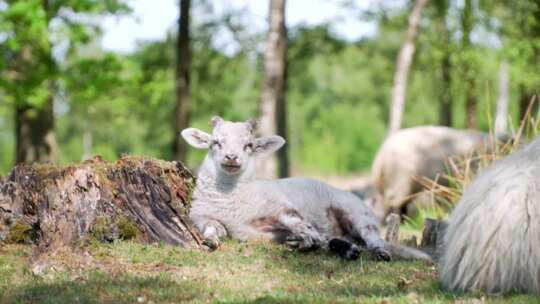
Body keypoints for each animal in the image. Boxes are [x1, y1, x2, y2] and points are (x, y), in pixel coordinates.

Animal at [181, 116, 430, 262]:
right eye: (215, 143)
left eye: (249, 145)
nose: (232, 158)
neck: (231, 196)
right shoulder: (207, 219)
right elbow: (212, 230)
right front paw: (211, 241)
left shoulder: (282, 209)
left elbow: (305, 228)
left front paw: (305, 241)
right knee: (345, 240)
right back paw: (346, 248)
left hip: (357, 213)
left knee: (372, 239)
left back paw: (379, 252)